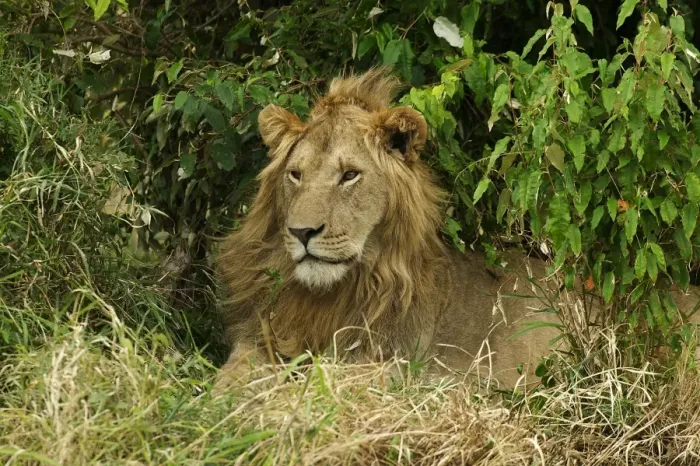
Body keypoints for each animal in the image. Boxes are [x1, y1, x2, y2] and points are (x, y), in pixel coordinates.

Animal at [216, 69, 700, 391]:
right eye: (295, 175)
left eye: (349, 175)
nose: (302, 232)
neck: (328, 297)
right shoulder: (260, 339)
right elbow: (232, 380)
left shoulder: (393, 368)